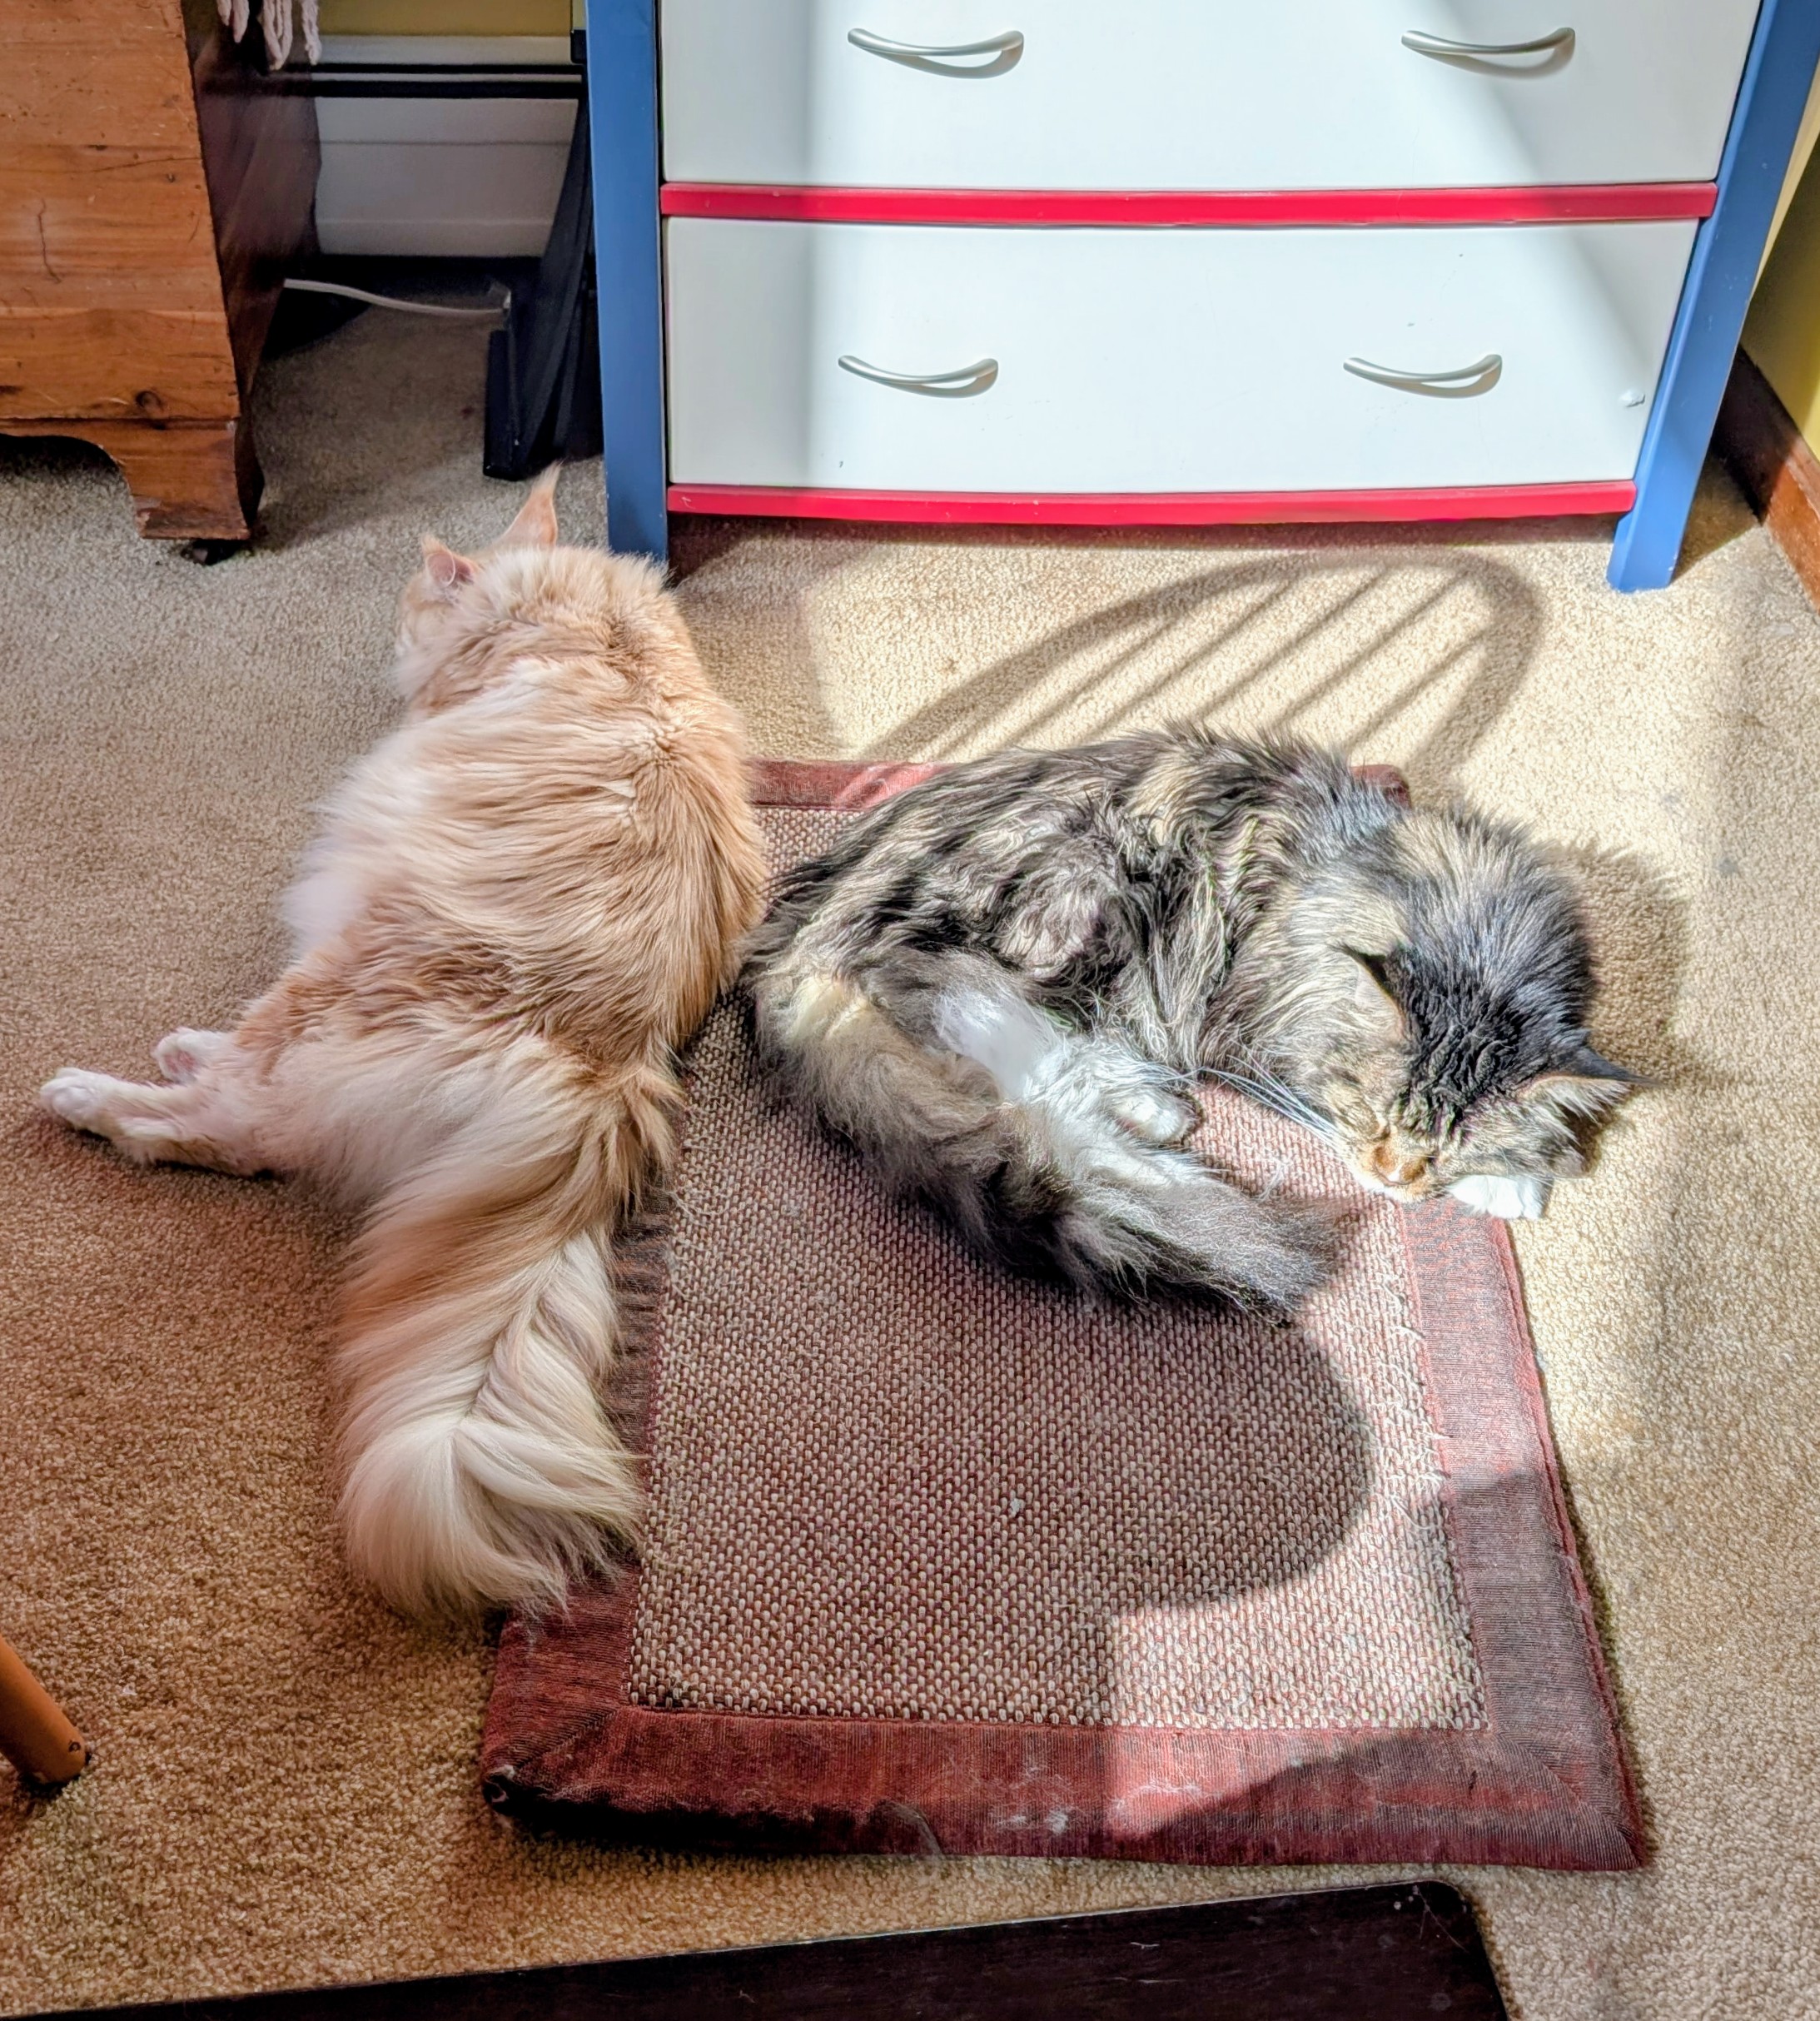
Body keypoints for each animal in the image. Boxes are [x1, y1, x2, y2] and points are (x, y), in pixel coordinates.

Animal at [41, 475, 767, 1616]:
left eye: (412, 604)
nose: (393, 633)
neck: (575, 618)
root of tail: (604, 1077)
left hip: (325, 981)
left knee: (223, 1126)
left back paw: (97, 1092)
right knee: (252, 1126)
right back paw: (176, 1053)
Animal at [741, 729, 1636, 1310]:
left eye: (1444, 1142)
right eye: (1371, 1112)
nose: (1394, 1180)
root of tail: (795, 934)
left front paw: (1512, 1165)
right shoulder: (1257, 1029)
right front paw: (1517, 1178)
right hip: (1076, 895)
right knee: (1015, 1051)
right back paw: (1157, 1110)